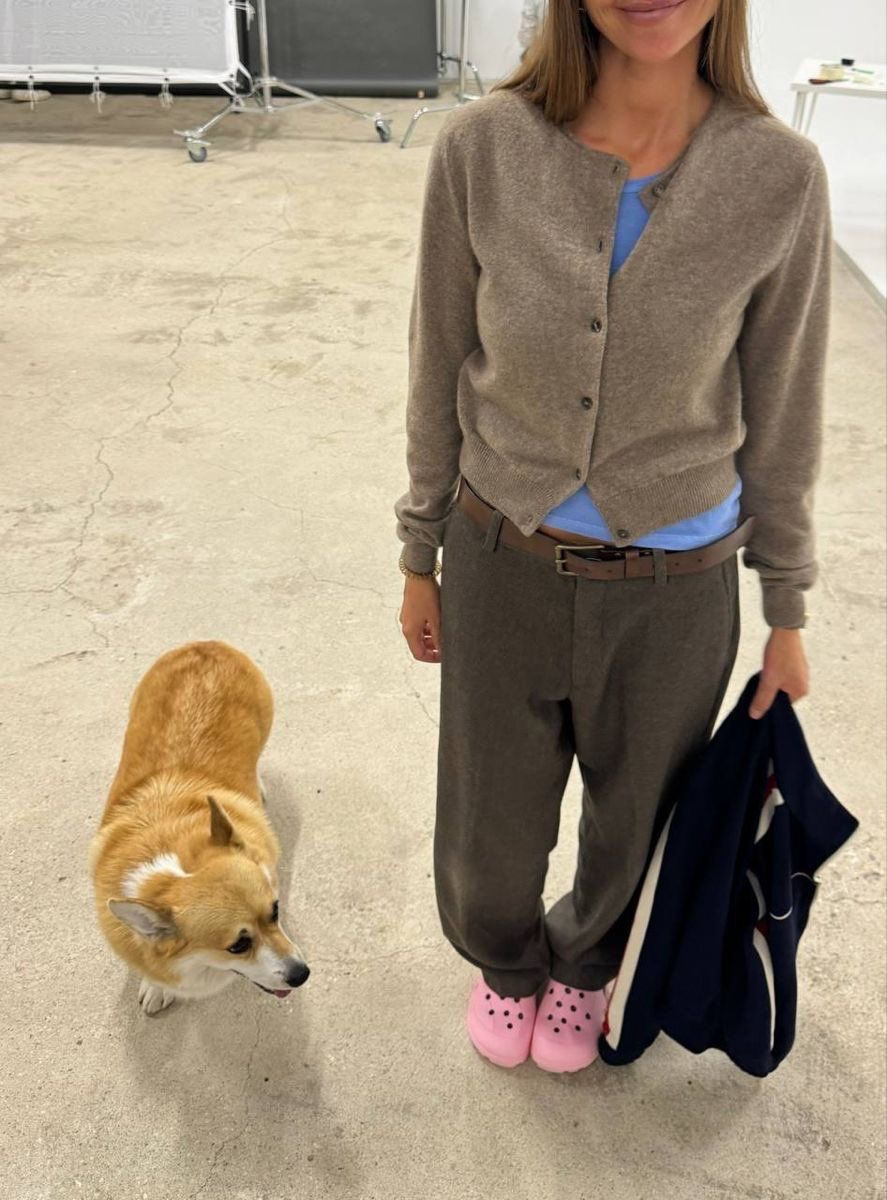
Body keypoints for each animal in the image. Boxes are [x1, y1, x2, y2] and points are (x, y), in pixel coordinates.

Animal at [90, 640, 309, 1014]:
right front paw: (156, 986)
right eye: (238, 946)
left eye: (275, 911)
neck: (173, 866)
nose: (302, 974)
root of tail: (207, 645)